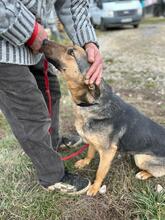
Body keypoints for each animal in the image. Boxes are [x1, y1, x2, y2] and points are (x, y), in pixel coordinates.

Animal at [40, 40, 165, 196]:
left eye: (71, 52)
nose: (44, 40)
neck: (91, 104)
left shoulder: (108, 152)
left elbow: (100, 172)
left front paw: (95, 187)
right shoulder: (92, 141)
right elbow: (90, 152)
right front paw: (85, 162)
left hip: (141, 158)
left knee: (159, 172)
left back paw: (143, 173)